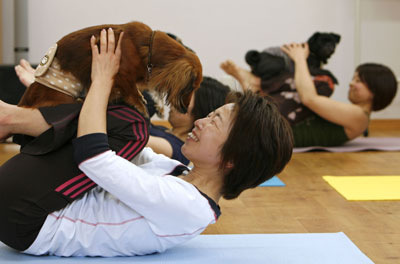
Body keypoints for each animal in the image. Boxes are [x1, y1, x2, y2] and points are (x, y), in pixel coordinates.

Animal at [18, 22, 203, 117]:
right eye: (191, 88)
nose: (186, 110)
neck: (146, 49)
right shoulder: (122, 75)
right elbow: (130, 90)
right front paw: (139, 105)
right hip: (63, 95)